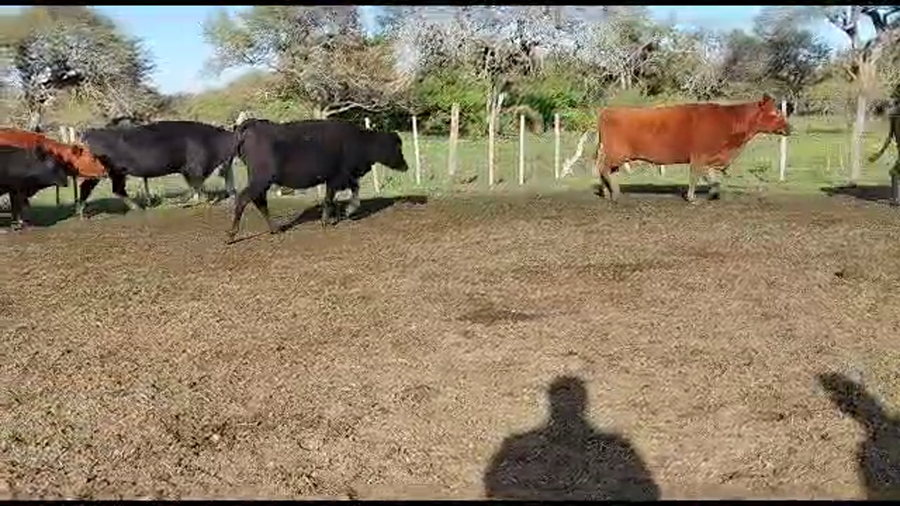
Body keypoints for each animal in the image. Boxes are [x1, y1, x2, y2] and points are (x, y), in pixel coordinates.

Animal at [77, 120, 238, 217]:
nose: (234, 191)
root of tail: (89, 133)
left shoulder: (189, 170)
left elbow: (195, 187)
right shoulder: (194, 168)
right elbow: (197, 186)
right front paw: (194, 201)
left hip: (116, 172)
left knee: (116, 189)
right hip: (100, 172)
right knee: (88, 188)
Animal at [226, 118, 409, 243]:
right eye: (397, 147)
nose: (406, 166)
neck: (359, 141)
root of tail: (253, 123)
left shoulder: (343, 176)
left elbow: (351, 192)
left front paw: (344, 212)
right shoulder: (337, 177)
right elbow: (329, 199)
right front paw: (327, 221)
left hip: (261, 180)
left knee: (259, 201)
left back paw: (275, 229)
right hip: (261, 178)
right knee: (244, 199)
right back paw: (231, 235)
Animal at [595, 94, 791, 203]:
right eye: (775, 113)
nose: (789, 128)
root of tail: (607, 111)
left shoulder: (710, 158)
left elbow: (712, 179)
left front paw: (713, 194)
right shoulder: (699, 156)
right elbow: (696, 176)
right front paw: (691, 198)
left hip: (615, 156)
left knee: (606, 171)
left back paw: (609, 192)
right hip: (616, 153)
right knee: (603, 169)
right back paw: (614, 195)